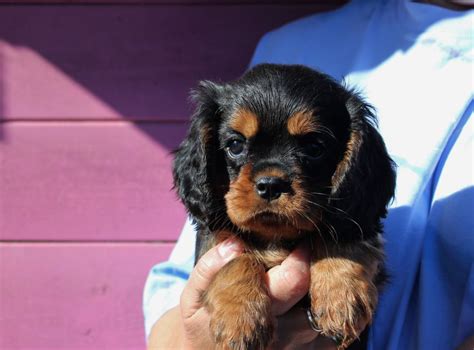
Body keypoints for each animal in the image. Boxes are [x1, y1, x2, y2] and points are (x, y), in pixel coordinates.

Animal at [172, 64, 394, 348]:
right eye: (235, 145)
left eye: (314, 148)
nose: (270, 185)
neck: (276, 236)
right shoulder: (213, 241)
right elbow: (234, 260)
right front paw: (241, 319)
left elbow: (340, 235)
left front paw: (341, 295)